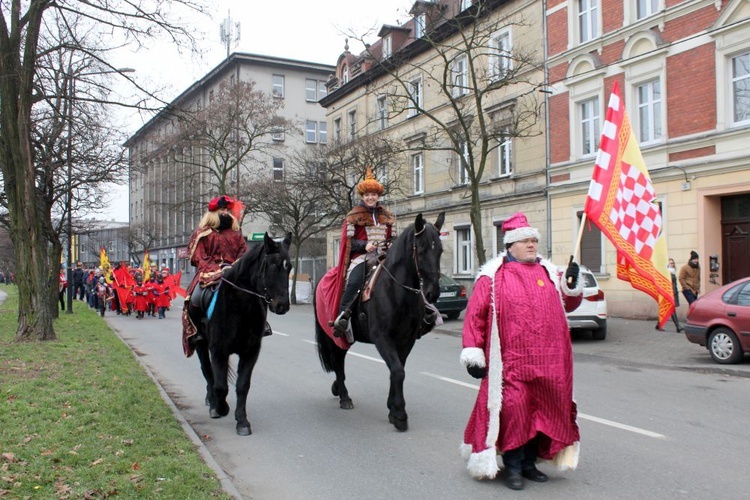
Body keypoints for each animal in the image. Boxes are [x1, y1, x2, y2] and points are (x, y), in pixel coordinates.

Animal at [189, 232, 292, 436]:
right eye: (274, 266)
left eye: (289, 267)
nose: (282, 306)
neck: (240, 306)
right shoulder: (218, 350)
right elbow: (221, 386)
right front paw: (221, 407)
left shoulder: (250, 352)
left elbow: (242, 385)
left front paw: (242, 421)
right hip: (201, 345)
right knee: (207, 371)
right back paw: (212, 402)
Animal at [314, 213, 444, 432]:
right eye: (422, 250)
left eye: (441, 251)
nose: (432, 293)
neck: (396, 291)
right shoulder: (382, 338)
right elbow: (398, 371)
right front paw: (400, 414)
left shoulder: (406, 340)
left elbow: (397, 369)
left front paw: (392, 409)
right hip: (335, 336)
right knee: (338, 361)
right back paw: (344, 396)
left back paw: (338, 389)